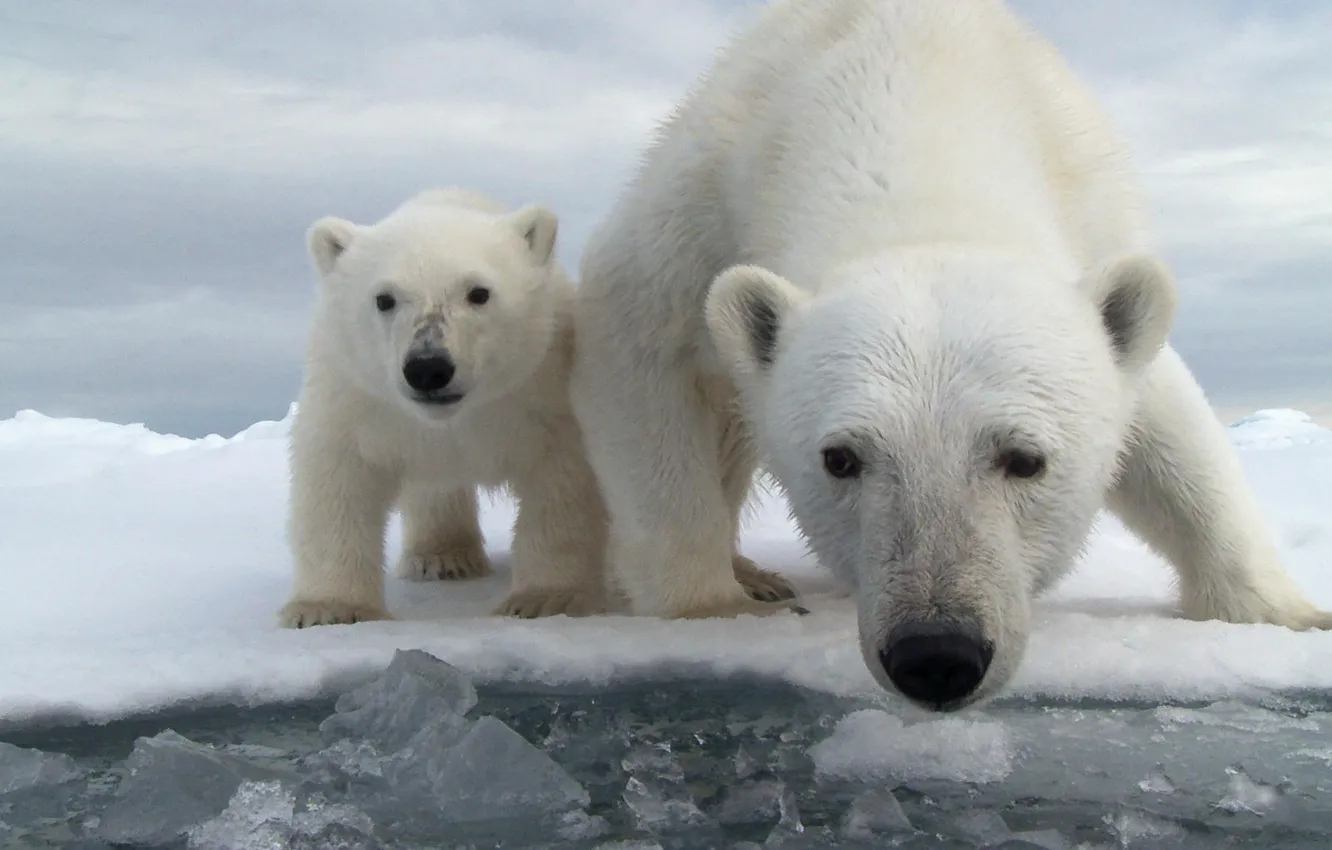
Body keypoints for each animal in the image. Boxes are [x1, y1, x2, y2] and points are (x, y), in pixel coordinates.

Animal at [572, 0, 1332, 714]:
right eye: (840, 458)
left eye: (1026, 458)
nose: (937, 655)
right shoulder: (704, 200)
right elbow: (641, 347)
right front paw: (712, 607)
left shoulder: (1091, 215)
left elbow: (1170, 426)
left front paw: (1290, 616)